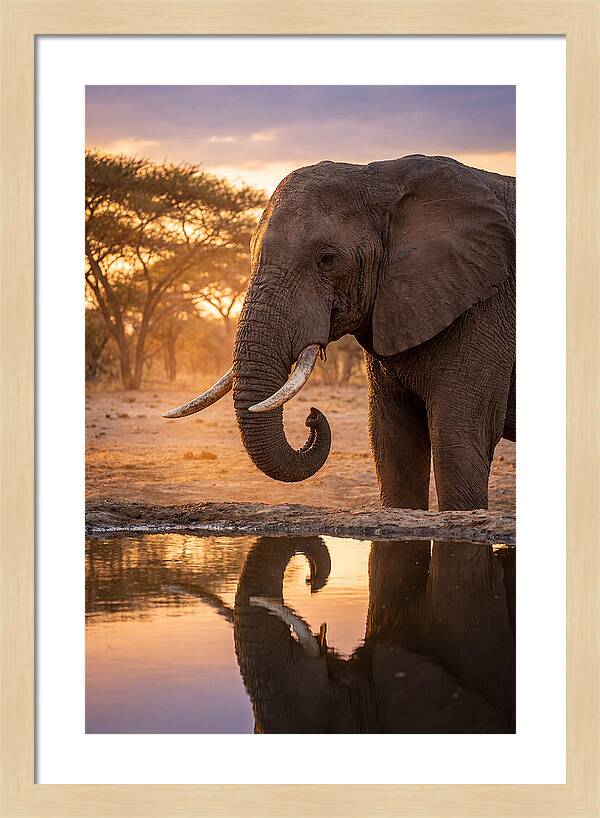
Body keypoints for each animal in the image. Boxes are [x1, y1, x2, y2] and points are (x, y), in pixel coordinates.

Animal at [164, 154, 516, 511]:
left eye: (327, 259)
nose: (312, 416)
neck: (383, 177)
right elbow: (392, 444)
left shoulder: (487, 305)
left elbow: (458, 440)